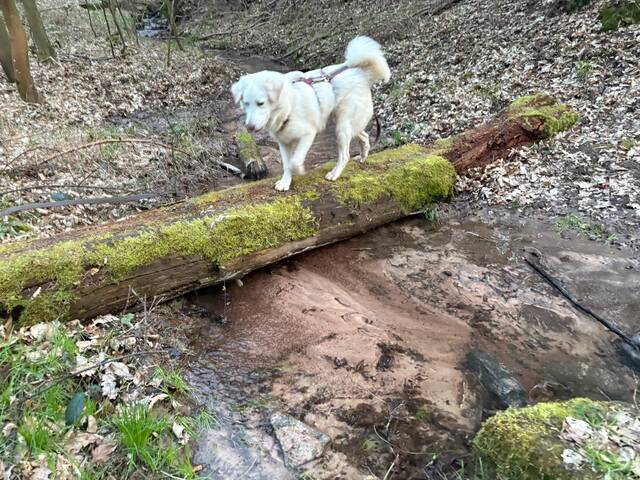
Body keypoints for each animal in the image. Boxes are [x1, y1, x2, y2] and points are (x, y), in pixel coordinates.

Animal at [231, 36, 391, 191]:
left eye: (261, 103)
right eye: (246, 103)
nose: (249, 127)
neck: (289, 106)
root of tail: (361, 74)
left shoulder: (308, 135)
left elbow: (294, 162)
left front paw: (299, 171)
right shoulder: (284, 142)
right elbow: (286, 164)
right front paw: (285, 182)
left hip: (342, 127)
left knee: (345, 155)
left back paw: (335, 174)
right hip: (346, 124)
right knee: (364, 136)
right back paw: (362, 157)